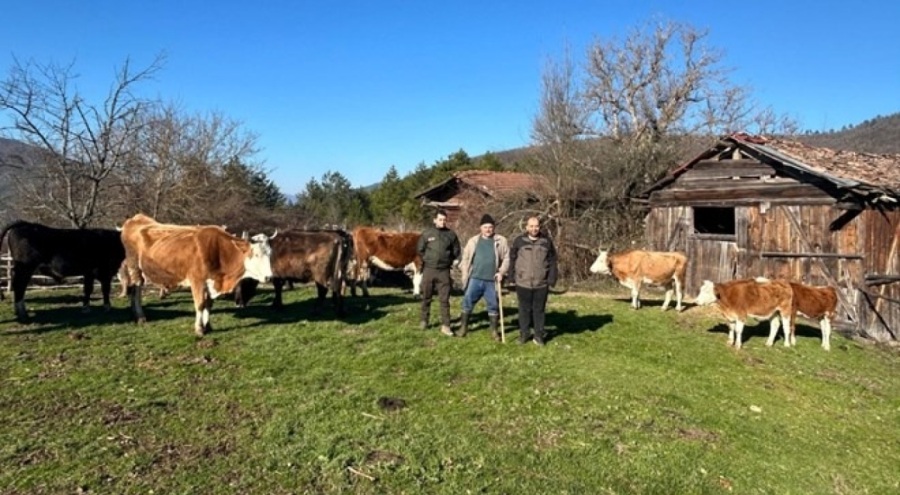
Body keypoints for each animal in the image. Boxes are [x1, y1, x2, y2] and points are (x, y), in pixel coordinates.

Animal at [119, 214, 274, 338]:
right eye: (256, 254)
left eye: (270, 253)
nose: (269, 277)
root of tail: (137, 218)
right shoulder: (197, 281)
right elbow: (200, 304)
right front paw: (199, 329)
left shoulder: (210, 282)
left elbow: (208, 304)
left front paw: (208, 326)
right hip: (134, 266)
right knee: (136, 290)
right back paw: (140, 316)